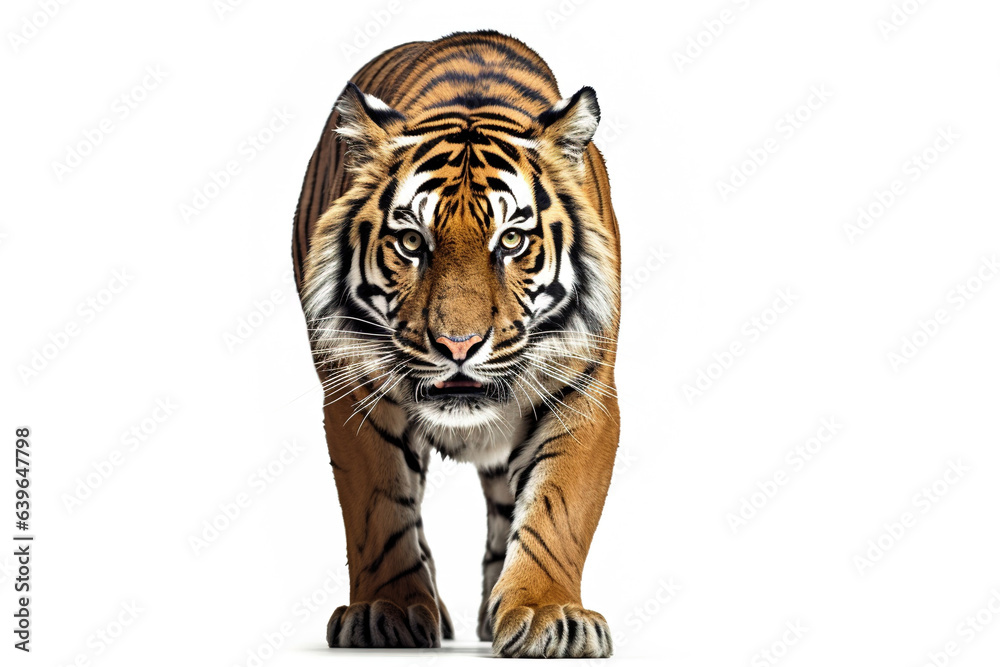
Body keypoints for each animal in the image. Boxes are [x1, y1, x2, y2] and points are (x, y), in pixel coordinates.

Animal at [292, 30, 621, 658]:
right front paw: (387, 611)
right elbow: (380, 511)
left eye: (512, 240)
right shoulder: (354, 390)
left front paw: (547, 614)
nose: (458, 345)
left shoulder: (585, 390)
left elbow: (557, 508)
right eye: (411, 242)